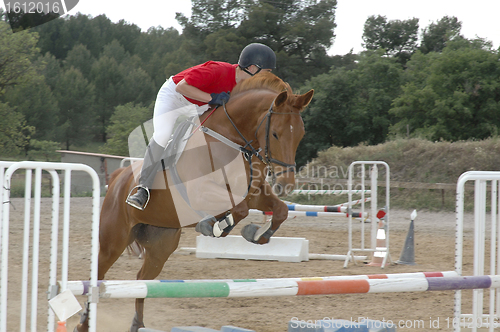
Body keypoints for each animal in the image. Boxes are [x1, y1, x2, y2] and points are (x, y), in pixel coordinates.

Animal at [73, 72, 312, 332]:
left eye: (301, 134)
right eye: (276, 133)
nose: (286, 183)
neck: (231, 140)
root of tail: (117, 178)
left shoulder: (254, 194)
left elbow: (279, 210)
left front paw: (256, 233)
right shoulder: (201, 191)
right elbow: (239, 209)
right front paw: (215, 226)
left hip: (161, 244)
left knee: (142, 279)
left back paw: (138, 323)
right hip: (113, 240)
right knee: (98, 274)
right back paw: (84, 322)